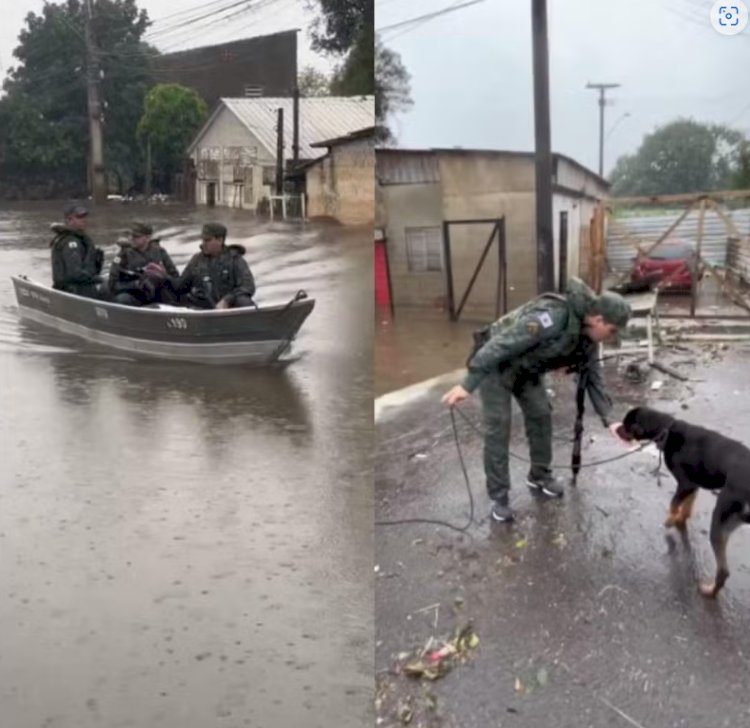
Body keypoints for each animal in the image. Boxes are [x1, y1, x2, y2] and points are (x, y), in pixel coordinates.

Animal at [616, 404, 750, 596]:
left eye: (626, 425)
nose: (616, 428)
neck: (665, 429)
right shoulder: (692, 485)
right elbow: (687, 505)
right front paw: (680, 518)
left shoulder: (685, 484)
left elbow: (673, 503)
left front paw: (671, 520)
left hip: (720, 519)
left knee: (723, 571)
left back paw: (709, 591)